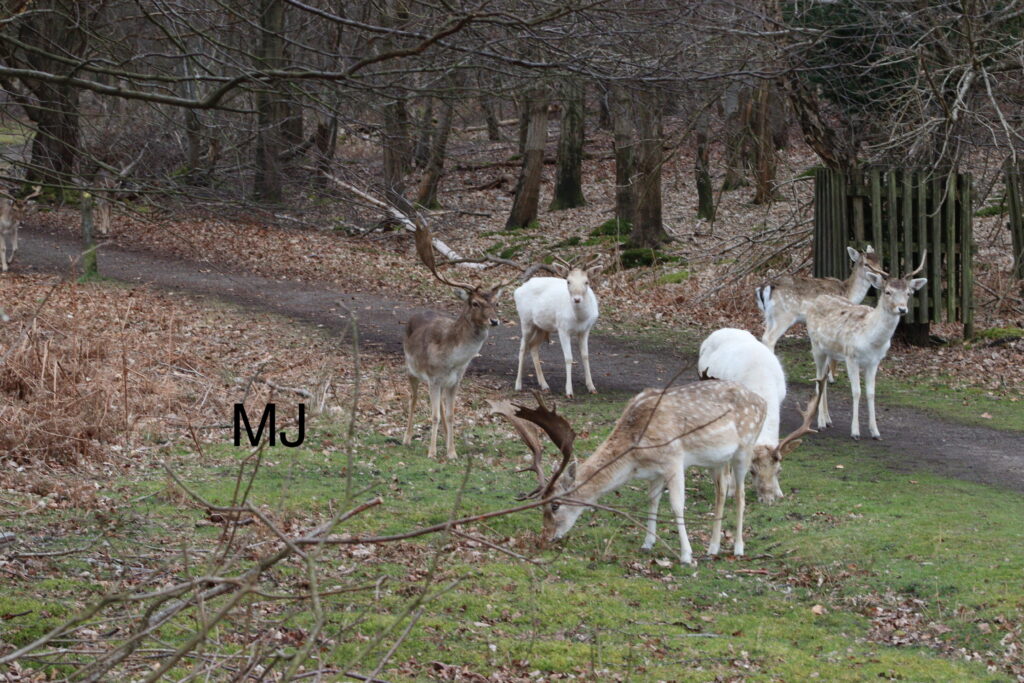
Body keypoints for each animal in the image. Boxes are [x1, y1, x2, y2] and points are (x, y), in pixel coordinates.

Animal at [403, 222, 514, 459]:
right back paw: (406, 438)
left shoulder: (455, 381)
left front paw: (452, 452)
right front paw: (432, 453)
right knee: (413, 399)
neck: (452, 360)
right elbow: (434, 415)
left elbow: (451, 414)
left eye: (496, 303)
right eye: (475, 303)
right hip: (411, 369)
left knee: (441, 410)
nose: (494, 321)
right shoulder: (434, 378)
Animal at [491, 379, 823, 565]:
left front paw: (686, 556)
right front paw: (647, 542)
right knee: (721, 494)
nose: (545, 537)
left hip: (744, 447)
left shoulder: (674, 459)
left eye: (556, 505)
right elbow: (653, 500)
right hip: (717, 461)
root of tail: (762, 401)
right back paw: (713, 547)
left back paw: (738, 548)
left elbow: (676, 506)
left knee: (740, 495)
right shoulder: (655, 470)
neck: (635, 452)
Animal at [514, 255, 602, 398]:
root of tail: (517, 290)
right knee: (522, 348)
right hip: (526, 320)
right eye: (568, 281)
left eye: (586, 282)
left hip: (542, 326)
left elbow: (585, 356)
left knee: (533, 346)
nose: (577, 299)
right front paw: (569, 391)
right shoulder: (563, 328)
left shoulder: (586, 330)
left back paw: (544, 385)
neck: (579, 318)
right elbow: (568, 358)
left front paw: (592, 388)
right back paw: (518, 385)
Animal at [756, 245, 886, 351]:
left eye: (879, 261)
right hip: (784, 315)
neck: (848, 292)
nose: (882, 276)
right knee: (769, 339)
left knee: (764, 337)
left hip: (769, 316)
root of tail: (764, 288)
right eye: (866, 264)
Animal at [805, 251, 927, 440]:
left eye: (908, 293)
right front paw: (855, 432)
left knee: (824, 378)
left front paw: (875, 432)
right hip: (816, 345)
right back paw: (820, 423)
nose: (902, 309)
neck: (870, 339)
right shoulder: (851, 357)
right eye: (888, 292)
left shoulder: (874, 362)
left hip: (830, 351)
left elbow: (870, 393)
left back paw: (828, 420)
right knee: (819, 379)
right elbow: (856, 392)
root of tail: (818, 298)